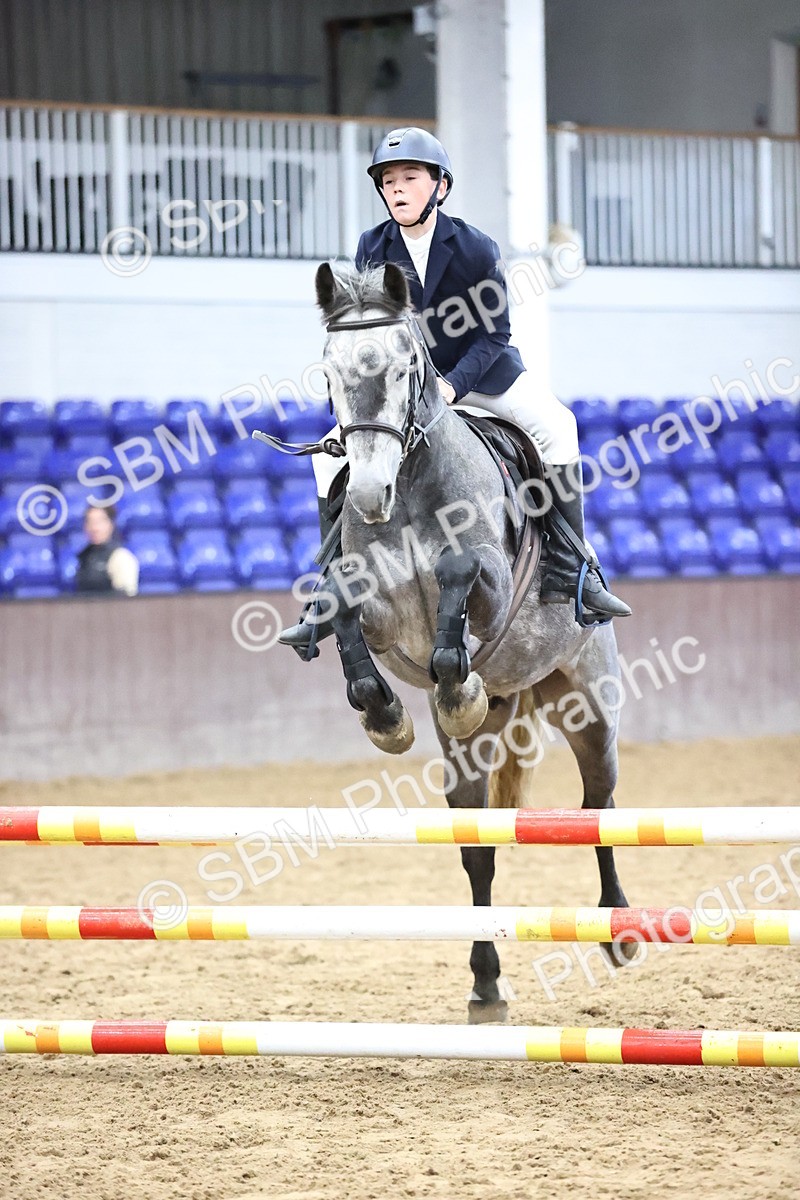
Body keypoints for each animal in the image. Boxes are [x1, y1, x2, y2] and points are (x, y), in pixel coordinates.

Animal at [291, 261, 635, 1022]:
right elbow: (344, 610)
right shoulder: (380, 615)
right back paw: (486, 984)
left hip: (589, 702)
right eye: (328, 373)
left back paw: (619, 929)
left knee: (598, 808)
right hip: (475, 749)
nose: (367, 496)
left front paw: (454, 682)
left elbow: (458, 571)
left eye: (401, 369)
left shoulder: (495, 588)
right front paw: (386, 714)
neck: (412, 487)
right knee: (478, 849)